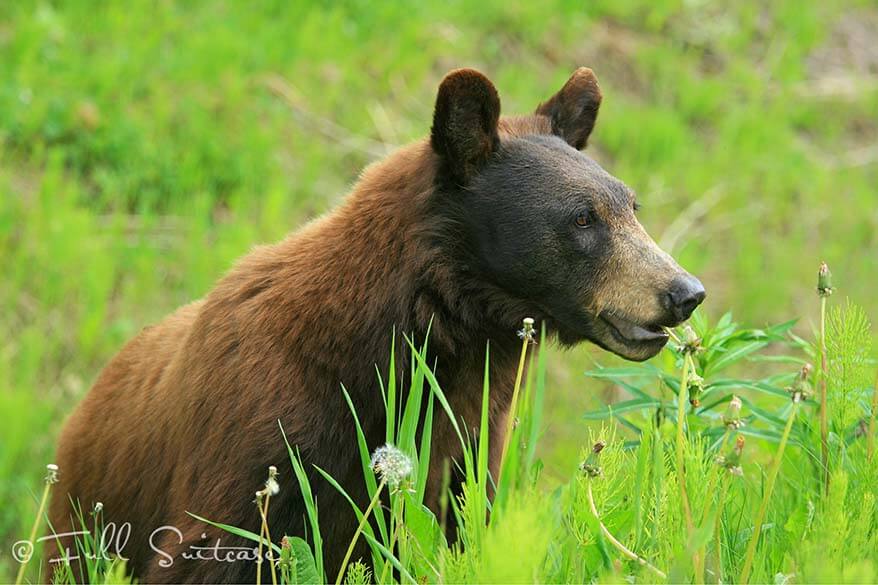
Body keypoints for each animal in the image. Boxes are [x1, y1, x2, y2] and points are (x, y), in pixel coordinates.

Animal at [48, 67, 708, 580]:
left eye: (631, 206)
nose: (684, 292)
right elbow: (215, 547)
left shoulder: (468, 441)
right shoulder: (262, 438)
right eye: (582, 218)